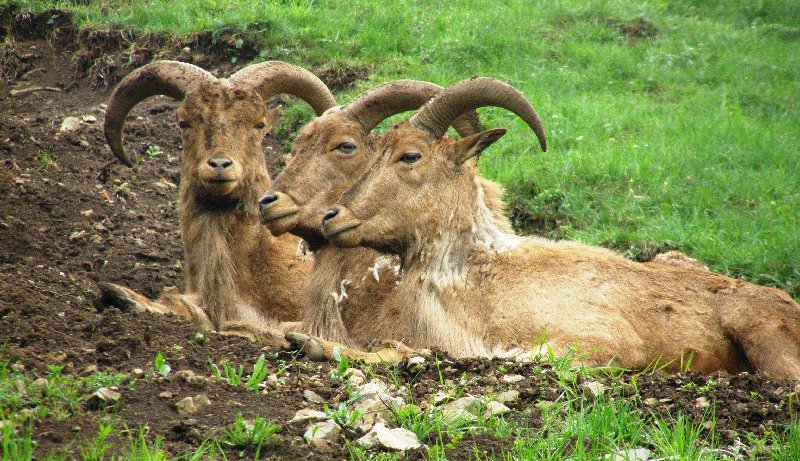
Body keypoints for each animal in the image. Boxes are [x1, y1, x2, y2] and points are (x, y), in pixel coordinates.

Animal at [320, 76, 800, 378]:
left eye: (410, 155)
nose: (332, 217)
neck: (476, 277)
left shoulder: (602, 341)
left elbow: (516, 355)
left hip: (759, 330)